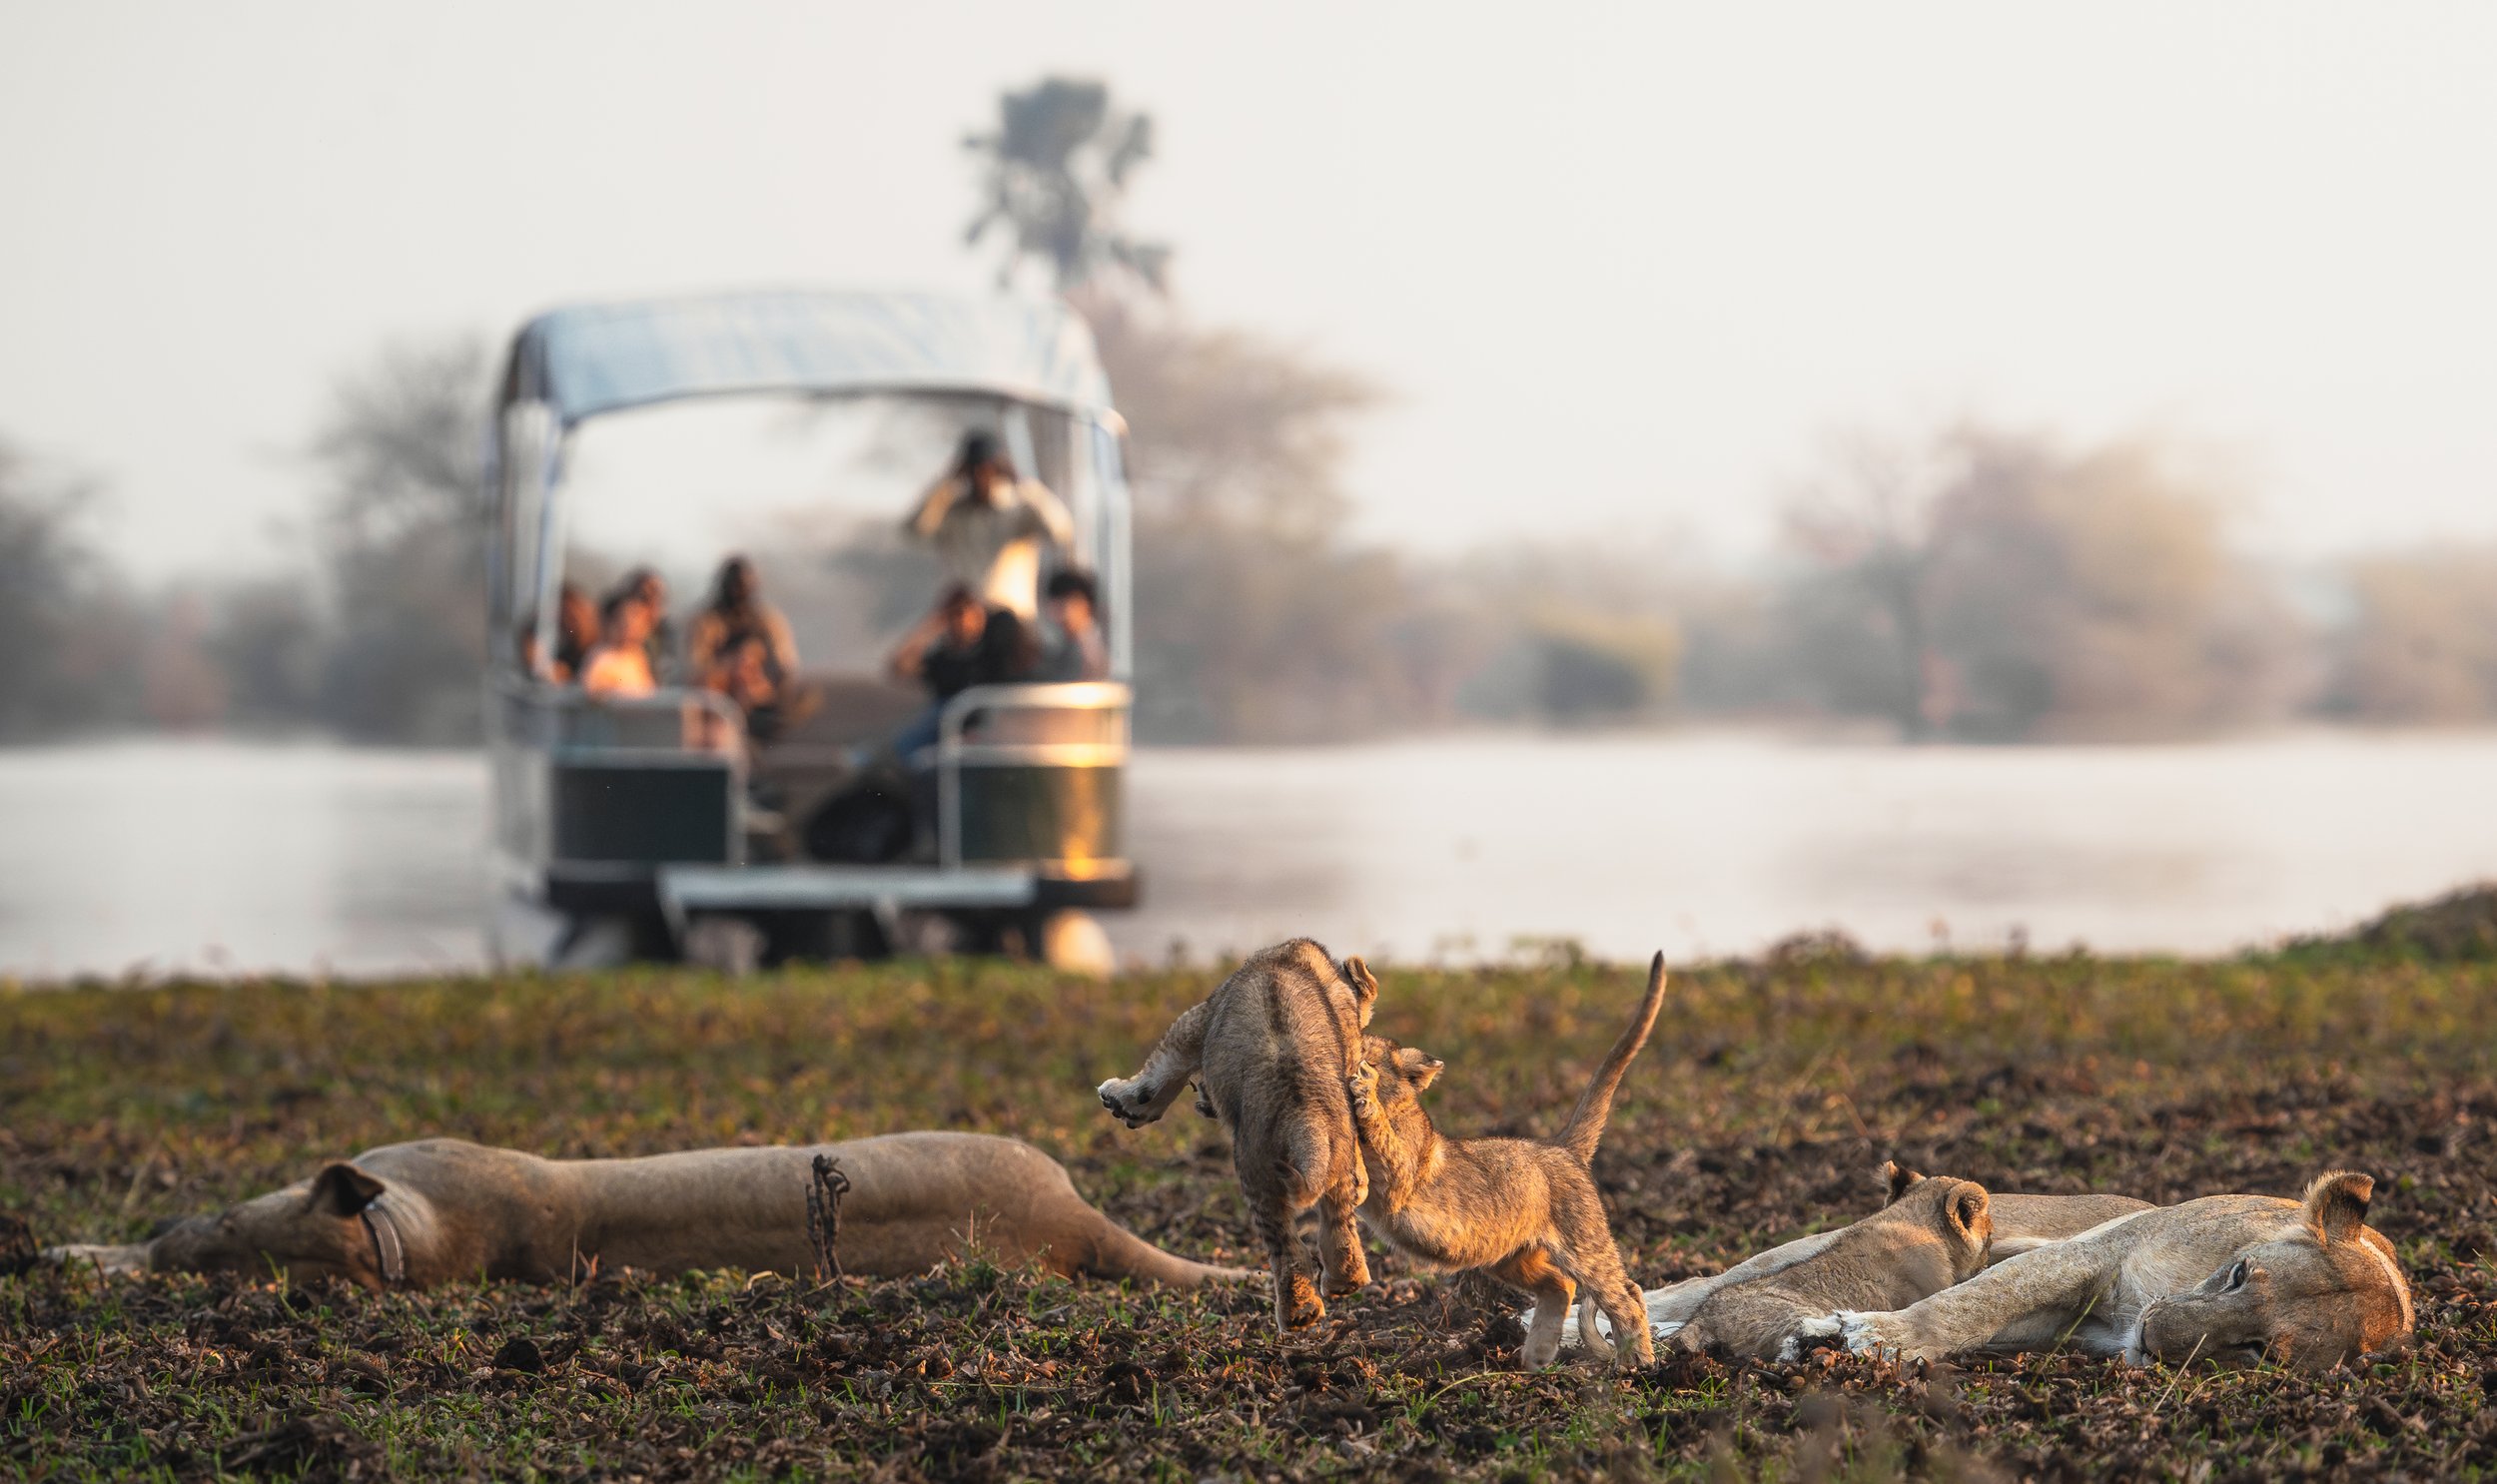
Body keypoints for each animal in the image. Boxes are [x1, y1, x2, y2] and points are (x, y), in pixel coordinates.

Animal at [1095, 938, 1379, 1330]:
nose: (1204, 1101)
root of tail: (1303, 1114)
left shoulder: (1198, 1019)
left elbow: (1160, 1069)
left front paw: (1121, 1101)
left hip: (1254, 1169)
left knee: (1287, 1249)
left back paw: (1298, 1313)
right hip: (1332, 1153)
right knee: (1339, 1226)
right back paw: (1343, 1283)